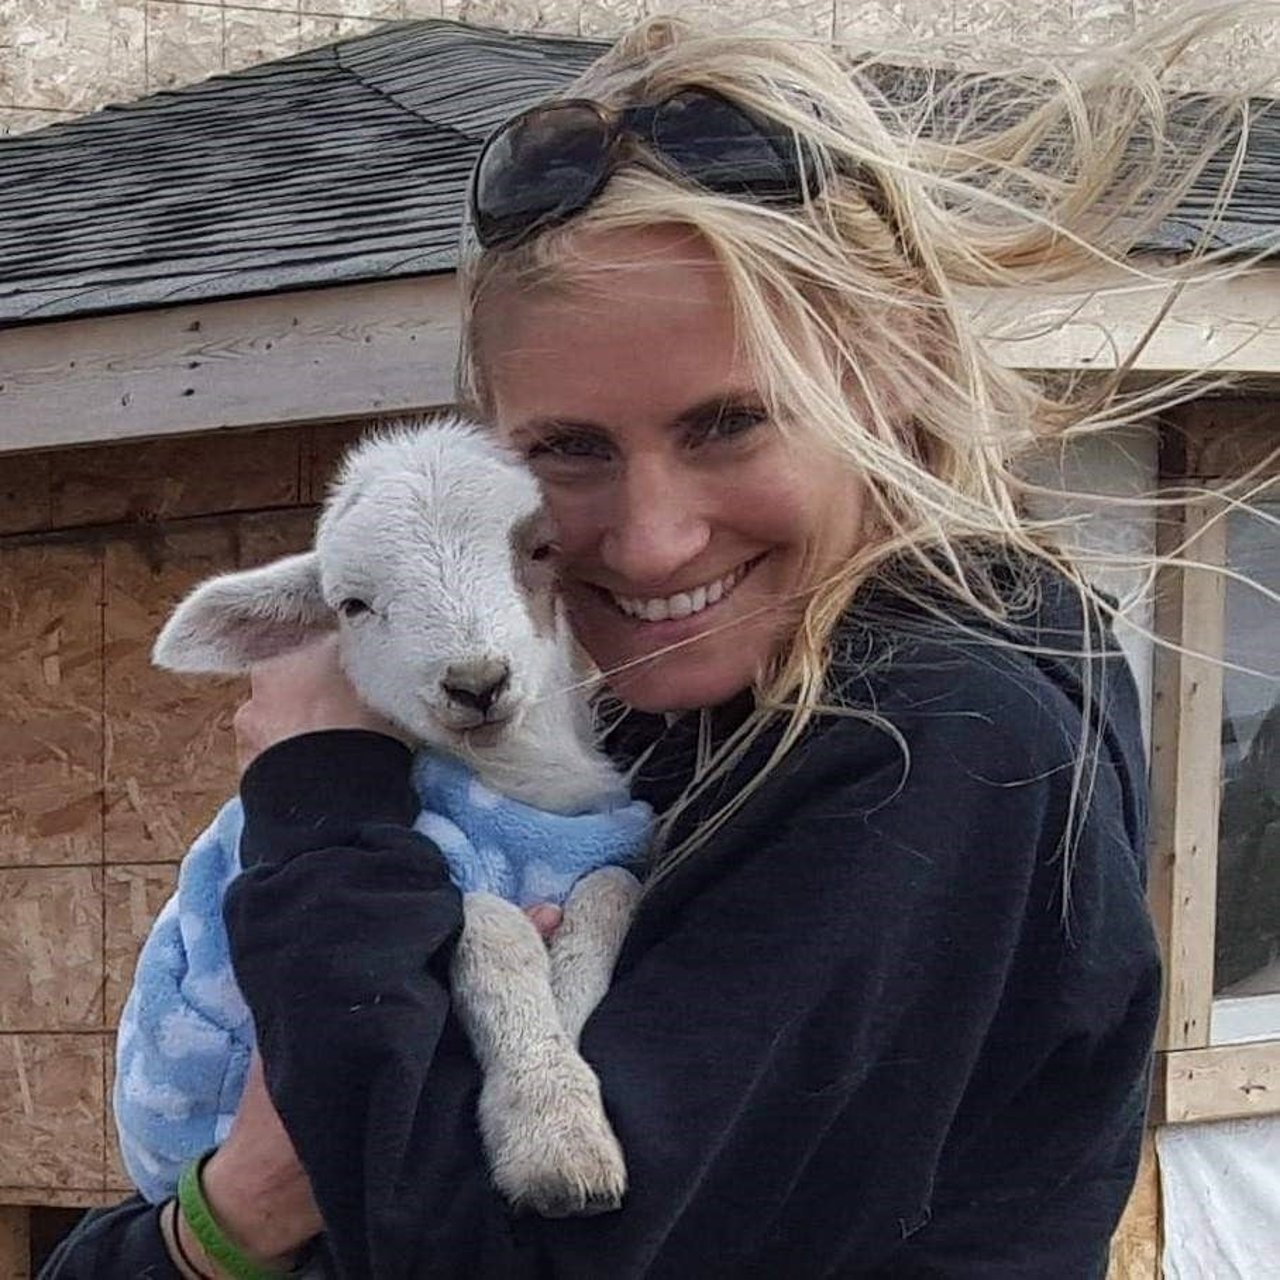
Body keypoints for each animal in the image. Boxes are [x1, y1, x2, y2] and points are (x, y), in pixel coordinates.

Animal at [123, 412, 650, 1218]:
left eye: (539, 551)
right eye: (352, 606)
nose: (476, 683)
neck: (518, 780)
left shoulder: (596, 843)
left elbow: (611, 892)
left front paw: (564, 1019)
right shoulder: (439, 860)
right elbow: (495, 931)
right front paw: (552, 1135)